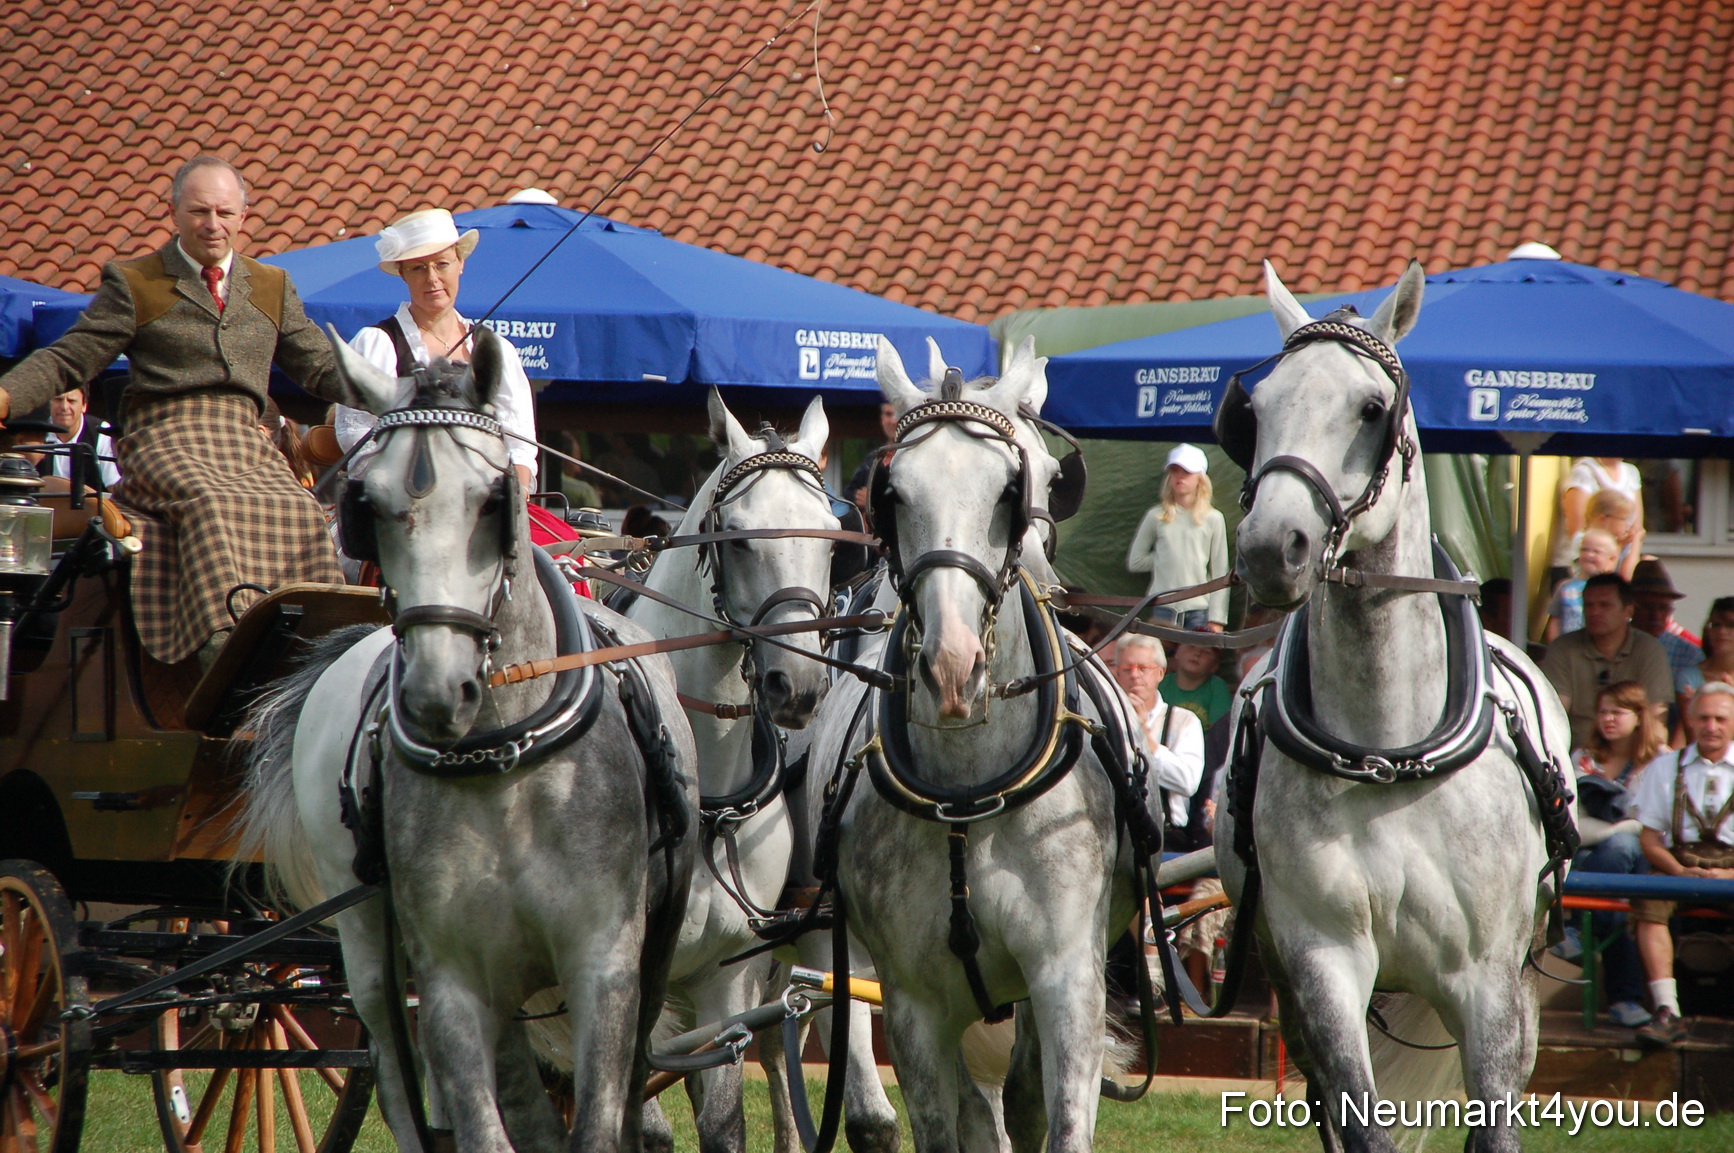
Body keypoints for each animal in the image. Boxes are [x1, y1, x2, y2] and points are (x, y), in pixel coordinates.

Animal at [240, 328, 697, 1153]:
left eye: (491, 501)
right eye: (368, 504)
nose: (434, 690)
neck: (506, 758)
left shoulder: (607, 964)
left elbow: (594, 1120)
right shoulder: (452, 976)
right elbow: (481, 1123)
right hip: (370, 947)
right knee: (400, 1073)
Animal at [798, 336, 1154, 1153]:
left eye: (1018, 486)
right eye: (894, 494)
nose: (954, 669)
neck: (968, 792)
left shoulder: (1067, 981)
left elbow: (1054, 1115)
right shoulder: (914, 1005)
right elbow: (947, 1122)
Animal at [1211, 261, 1577, 1153]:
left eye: (1372, 409)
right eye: (1255, 411)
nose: (1271, 550)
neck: (1385, 750)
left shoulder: (1487, 984)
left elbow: (1494, 1122)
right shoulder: (1322, 962)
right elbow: (1359, 1122)